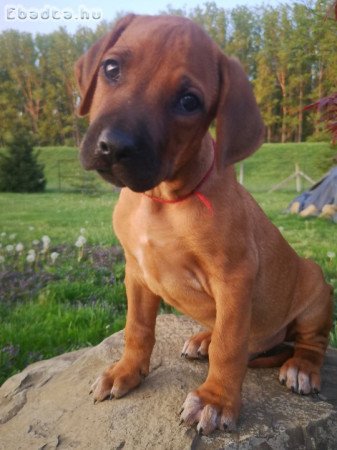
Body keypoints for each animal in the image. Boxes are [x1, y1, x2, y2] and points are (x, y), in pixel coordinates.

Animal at [75, 14, 330, 436]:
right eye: (111, 68)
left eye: (188, 101)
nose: (114, 146)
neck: (161, 199)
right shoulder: (136, 273)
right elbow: (137, 328)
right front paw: (126, 372)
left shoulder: (235, 278)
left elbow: (230, 346)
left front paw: (216, 400)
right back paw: (203, 339)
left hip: (315, 286)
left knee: (312, 342)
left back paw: (301, 369)